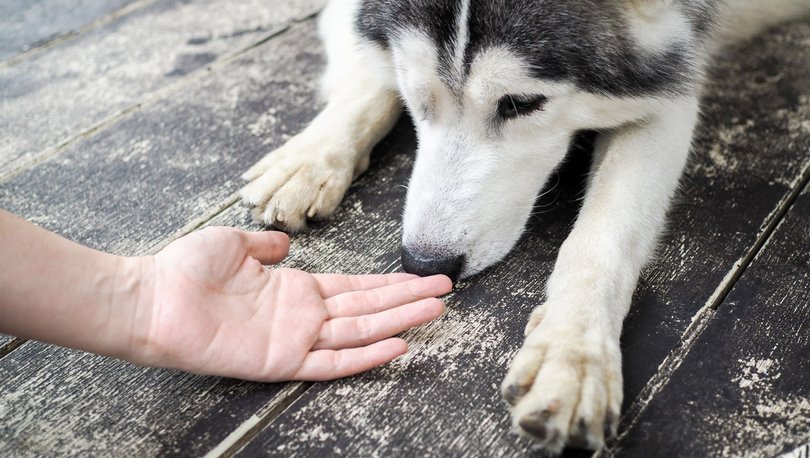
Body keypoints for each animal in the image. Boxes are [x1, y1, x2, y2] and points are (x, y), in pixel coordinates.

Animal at [240, 0, 808, 450]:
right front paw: (310, 157)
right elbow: (368, 79)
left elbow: (602, 238)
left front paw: (572, 350)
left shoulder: (667, 87)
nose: (424, 264)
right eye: (416, 93)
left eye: (522, 103)